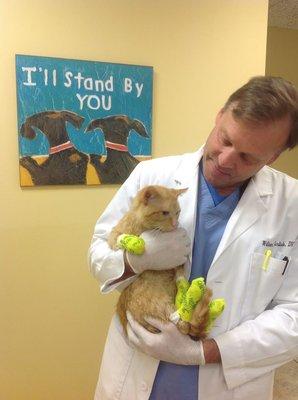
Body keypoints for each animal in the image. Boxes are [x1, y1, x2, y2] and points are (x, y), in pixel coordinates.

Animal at [108, 184, 213, 338]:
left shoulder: (179, 263)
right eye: (164, 213)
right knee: (181, 324)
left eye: (178, 212)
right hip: (158, 302)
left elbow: (180, 271)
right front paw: (135, 243)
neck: (147, 228)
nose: (175, 224)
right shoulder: (113, 235)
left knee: (184, 322)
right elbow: (119, 239)